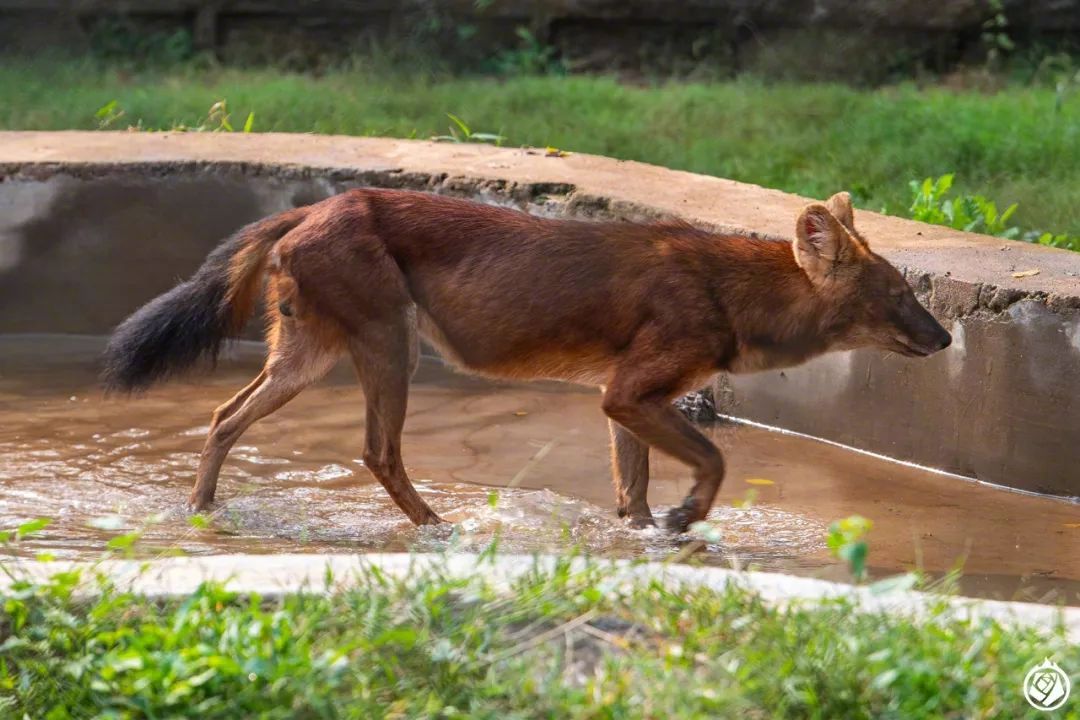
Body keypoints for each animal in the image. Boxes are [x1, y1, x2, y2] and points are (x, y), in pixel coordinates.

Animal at [101, 188, 946, 533]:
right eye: (898, 294)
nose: (944, 338)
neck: (728, 289)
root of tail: (314, 204)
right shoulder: (632, 391)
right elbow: (713, 461)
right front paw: (686, 518)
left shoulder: (624, 399)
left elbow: (632, 490)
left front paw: (649, 531)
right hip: (390, 343)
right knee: (377, 450)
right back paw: (441, 529)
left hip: (306, 356)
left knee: (222, 416)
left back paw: (201, 512)